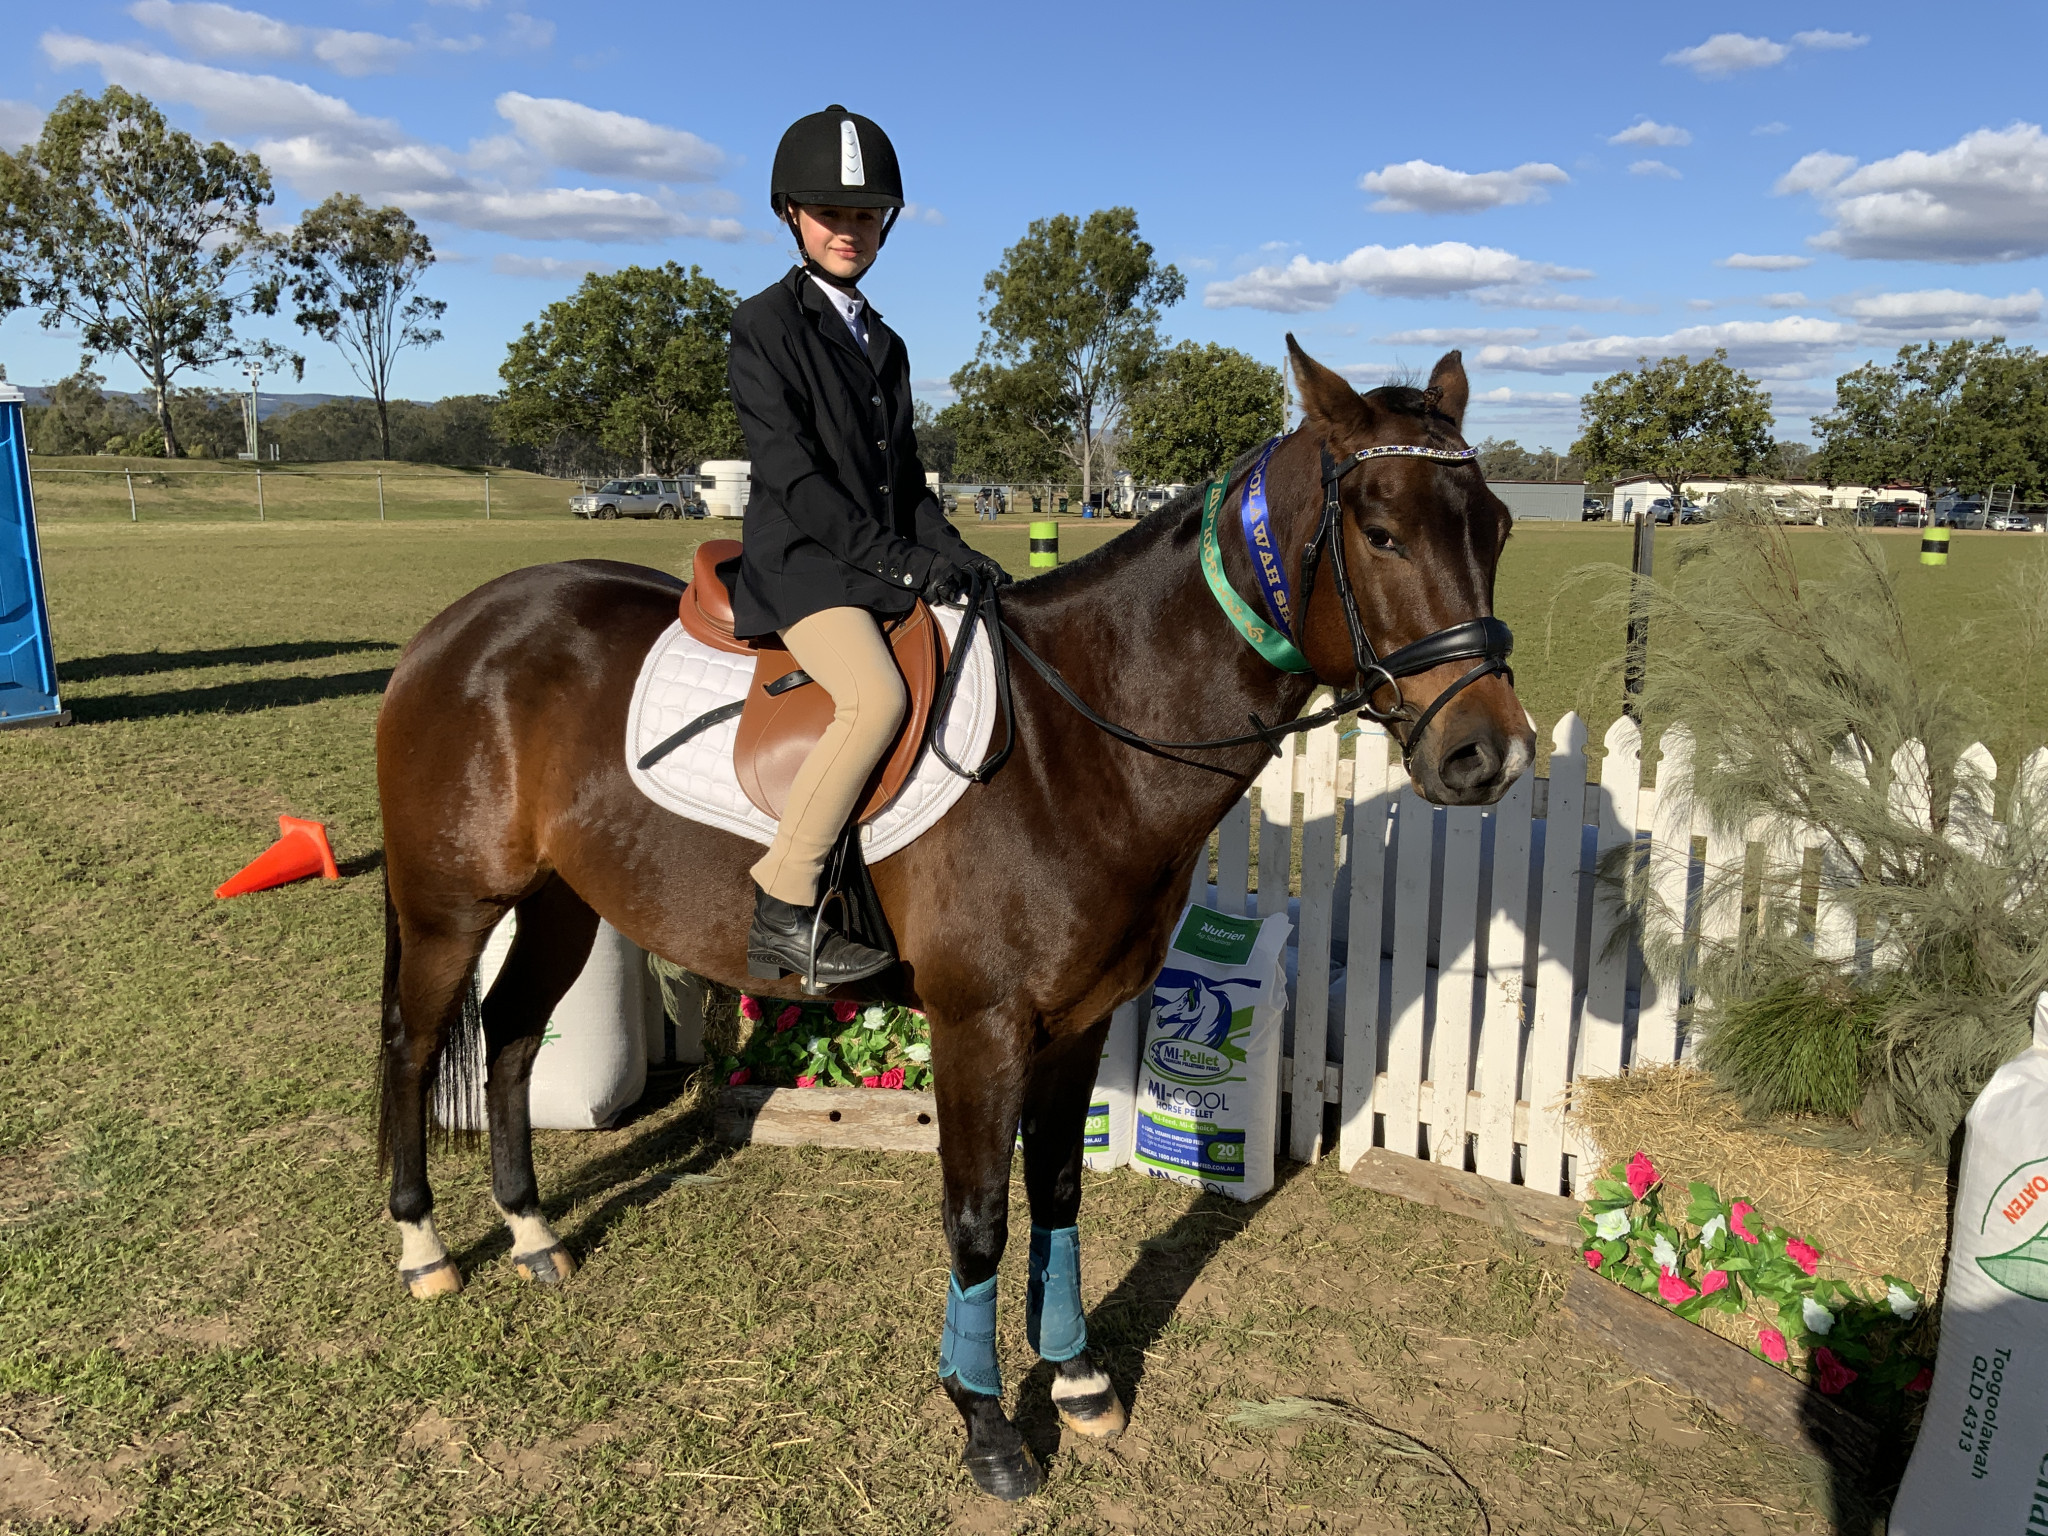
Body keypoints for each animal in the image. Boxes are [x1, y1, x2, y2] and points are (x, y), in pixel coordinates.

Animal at [376, 339, 1540, 1507]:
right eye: (1380, 532)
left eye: (1495, 527)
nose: (1488, 756)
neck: (1080, 743)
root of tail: (462, 624)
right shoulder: (978, 1026)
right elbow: (978, 1218)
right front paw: (985, 1424)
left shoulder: (1078, 1021)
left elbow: (1058, 1192)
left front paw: (1076, 1378)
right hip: (448, 907)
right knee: (415, 1044)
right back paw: (424, 1248)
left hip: (561, 900)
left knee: (511, 1036)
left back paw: (532, 1232)